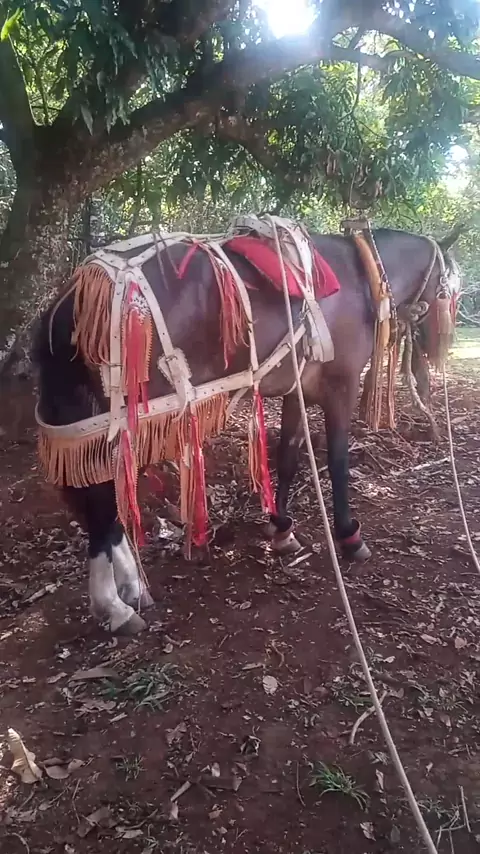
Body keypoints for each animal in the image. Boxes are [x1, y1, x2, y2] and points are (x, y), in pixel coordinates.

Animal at [33, 223, 459, 635]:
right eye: (453, 287)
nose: (436, 347)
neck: (360, 274)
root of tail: (74, 293)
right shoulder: (343, 384)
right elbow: (337, 461)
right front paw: (349, 536)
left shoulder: (296, 389)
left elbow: (287, 455)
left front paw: (282, 528)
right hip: (123, 419)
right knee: (102, 498)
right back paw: (114, 604)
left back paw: (131, 587)